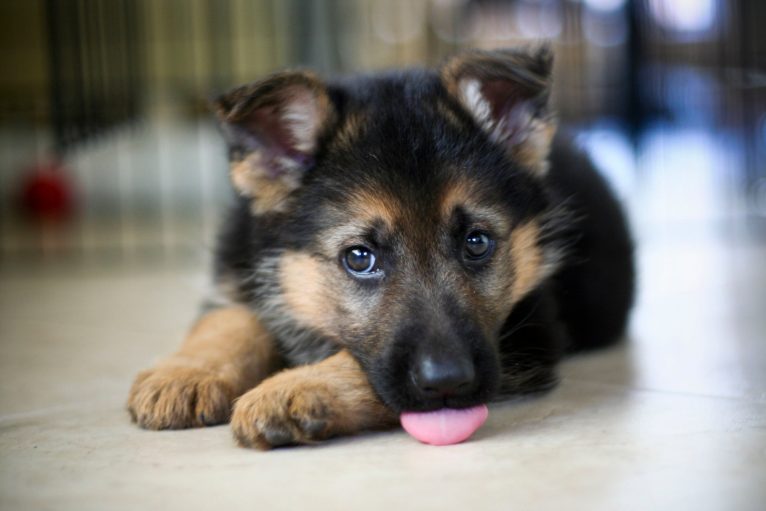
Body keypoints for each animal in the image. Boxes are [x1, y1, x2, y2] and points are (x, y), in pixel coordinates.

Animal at [129, 47, 636, 448]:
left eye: (477, 243)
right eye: (359, 257)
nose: (448, 382)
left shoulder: (528, 334)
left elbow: (359, 366)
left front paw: (295, 389)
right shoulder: (237, 266)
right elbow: (228, 320)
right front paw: (186, 373)